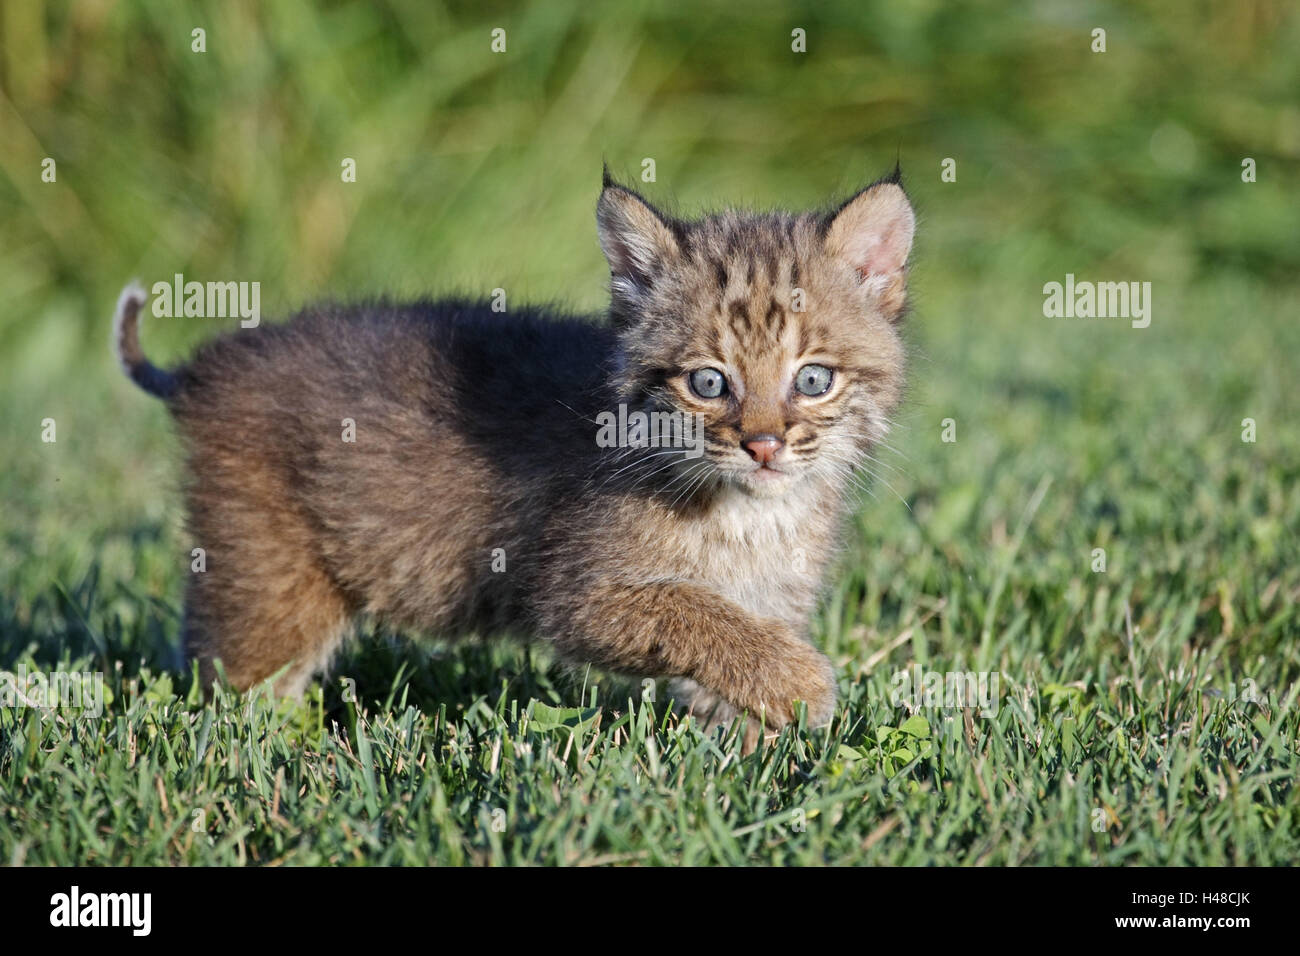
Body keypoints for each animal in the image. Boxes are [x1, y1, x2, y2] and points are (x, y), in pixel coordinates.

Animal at [116, 166, 920, 749]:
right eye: (708, 383)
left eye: (812, 380)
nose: (763, 444)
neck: (754, 508)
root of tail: (202, 368)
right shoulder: (575, 594)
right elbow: (692, 610)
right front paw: (805, 684)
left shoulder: (768, 596)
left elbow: (727, 650)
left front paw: (753, 757)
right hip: (272, 581)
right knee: (231, 686)